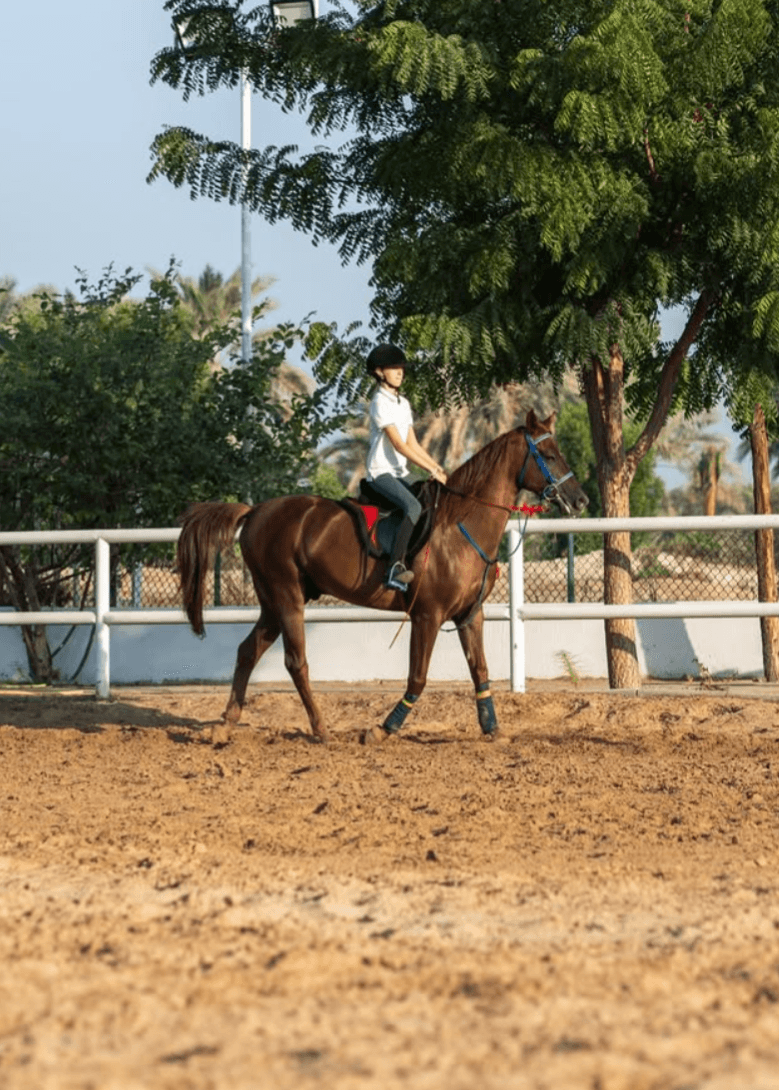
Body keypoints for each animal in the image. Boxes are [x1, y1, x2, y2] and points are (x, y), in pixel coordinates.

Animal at [177, 409, 588, 743]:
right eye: (549, 455)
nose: (580, 499)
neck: (460, 527)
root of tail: (255, 511)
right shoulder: (427, 616)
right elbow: (418, 677)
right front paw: (383, 729)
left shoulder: (470, 615)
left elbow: (480, 671)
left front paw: (493, 729)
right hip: (286, 597)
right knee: (296, 662)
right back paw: (321, 729)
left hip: (272, 603)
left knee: (248, 651)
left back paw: (227, 723)